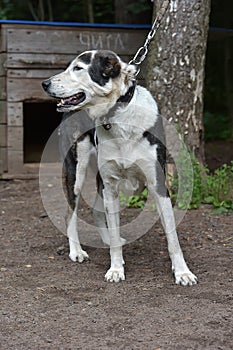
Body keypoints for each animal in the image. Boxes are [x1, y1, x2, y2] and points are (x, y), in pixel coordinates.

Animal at [41, 48, 197, 284]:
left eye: (78, 68)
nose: (45, 83)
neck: (117, 115)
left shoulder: (158, 185)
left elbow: (172, 237)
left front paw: (182, 272)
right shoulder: (112, 187)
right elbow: (113, 232)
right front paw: (115, 269)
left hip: (99, 179)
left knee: (96, 211)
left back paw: (103, 241)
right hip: (76, 172)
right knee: (70, 214)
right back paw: (76, 251)